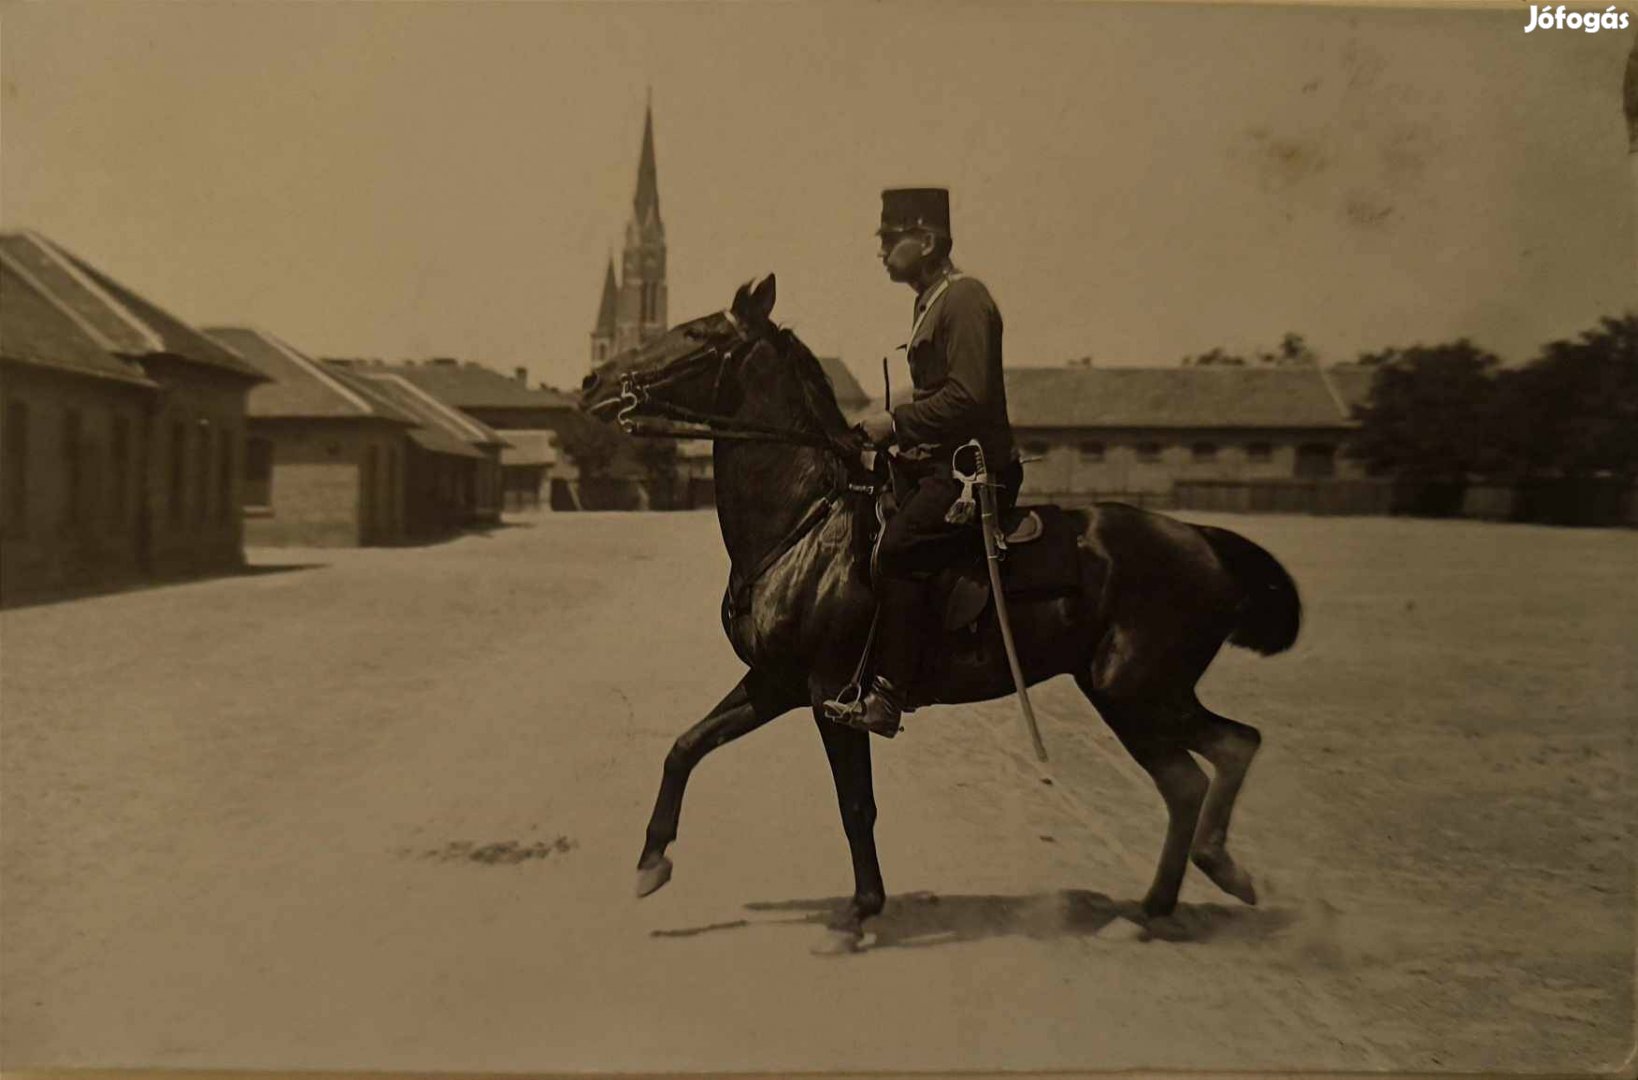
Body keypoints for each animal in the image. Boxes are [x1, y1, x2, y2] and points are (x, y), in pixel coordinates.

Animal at [583, 276, 1297, 943]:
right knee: (1219, 757)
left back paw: (1172, 897)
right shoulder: (775, 682)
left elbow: (855, 805)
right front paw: (651, 861)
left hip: (1137, 694)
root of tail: (1201, 539)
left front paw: (861, 910)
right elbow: (686, 746)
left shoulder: (827, 691)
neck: (805, 523)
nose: (593, 382)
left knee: (1205, 769)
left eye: (698, 333)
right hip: (1138, 694)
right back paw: (1194, 882)